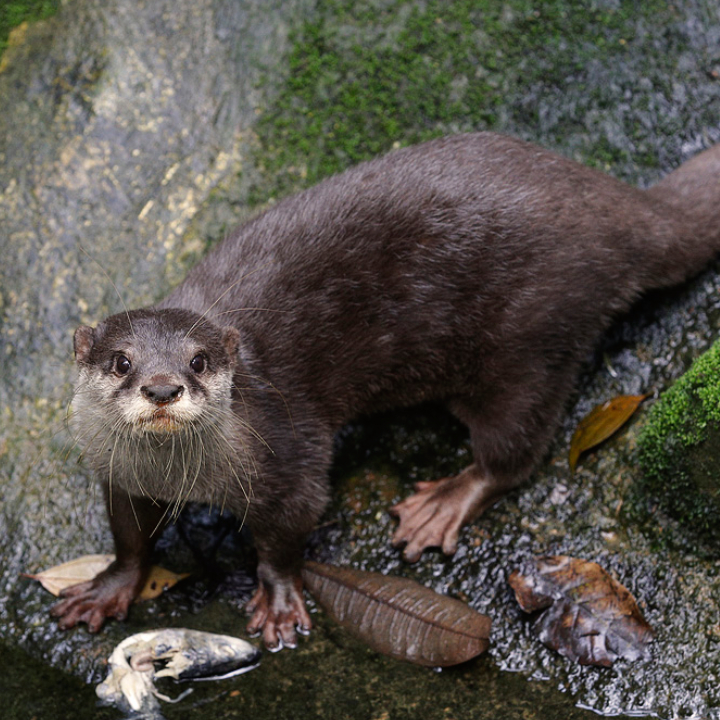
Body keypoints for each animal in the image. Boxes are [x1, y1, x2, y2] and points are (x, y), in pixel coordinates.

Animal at [51, 132, 720, 650]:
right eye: (121, 362)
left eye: (198, 359)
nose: (163, 388)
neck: (182, 478)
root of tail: (609, 200)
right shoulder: (118, 472)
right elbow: (130, 536)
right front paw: (107, 588)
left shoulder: (289, 452)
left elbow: (288, 531)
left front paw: (280, 601)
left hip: (534, 335)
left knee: (515, 449)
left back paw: (442, 504)